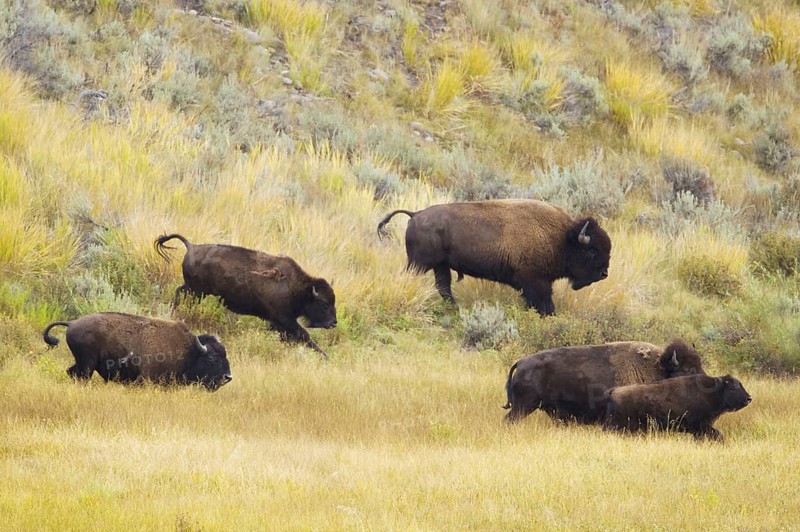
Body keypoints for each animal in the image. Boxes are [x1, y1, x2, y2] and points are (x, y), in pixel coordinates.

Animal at [43, 312, 232, 391]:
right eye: (212, 358)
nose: (228, 377)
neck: (190, 351)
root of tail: (72, 323)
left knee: (71, 372)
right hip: (87, 365)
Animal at [155, 234, 336, 357]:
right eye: (323, 304)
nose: (334, 323)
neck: (299, 288)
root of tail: (192, 246)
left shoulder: (279, 323)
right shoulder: (284, 319)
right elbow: (304, 335)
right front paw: (325, 356)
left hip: (194, 290)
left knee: (179, 292)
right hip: (196, 291)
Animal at [377, 199, 611, 315]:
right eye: (592, 251)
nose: (604, 273)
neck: (561, 237)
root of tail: (415, 215)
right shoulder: (536, 282)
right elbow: (544, 303)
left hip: (440, 265)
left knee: (444, 286)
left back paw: (455, 309)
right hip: (420, 263)